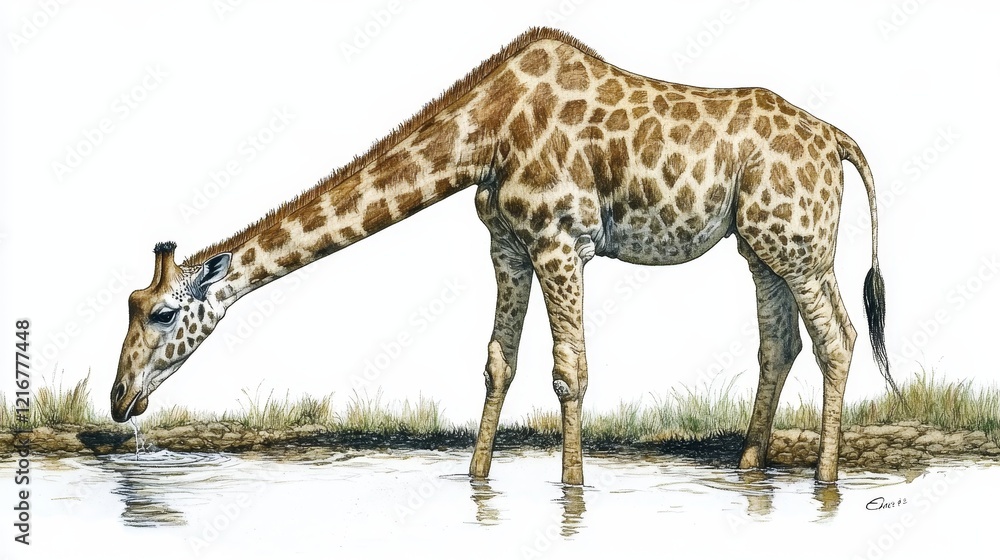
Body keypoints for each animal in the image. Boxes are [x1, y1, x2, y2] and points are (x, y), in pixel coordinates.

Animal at [110, 27, 895, 484]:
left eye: (162, 313)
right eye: (134, 305)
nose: (119, 400)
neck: (484, 135)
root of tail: (839, 141)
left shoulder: (562, 242)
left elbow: (569, 371)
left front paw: (572, 490)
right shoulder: (508, 248)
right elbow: (498, 360)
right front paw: (476, 480)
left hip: (800, 245)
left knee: (838, 338)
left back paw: (825, 480)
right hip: (763, 246)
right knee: (781, 341)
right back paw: (751, 464)